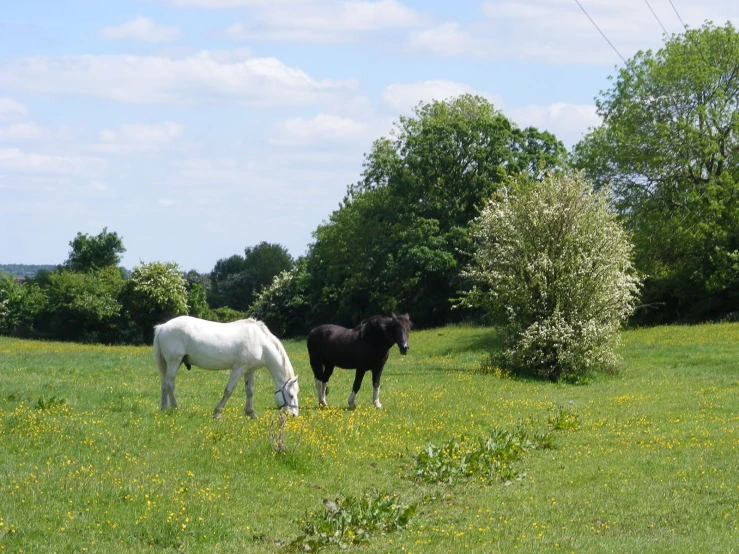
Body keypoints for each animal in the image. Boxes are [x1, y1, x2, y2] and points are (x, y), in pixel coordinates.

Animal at [153, 312, 300, 416]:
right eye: (291, 395)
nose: (294, 415)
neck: (260, 343)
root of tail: (162, 327)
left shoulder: (249, 371)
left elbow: (250, 391)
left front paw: (251, 413)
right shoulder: (238, 369)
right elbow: (229, 390)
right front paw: (217, 413)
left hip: (171, 363)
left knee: (164, 383)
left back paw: (164, 408)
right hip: (174, 361)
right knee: (170, 384)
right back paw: (175, 408)